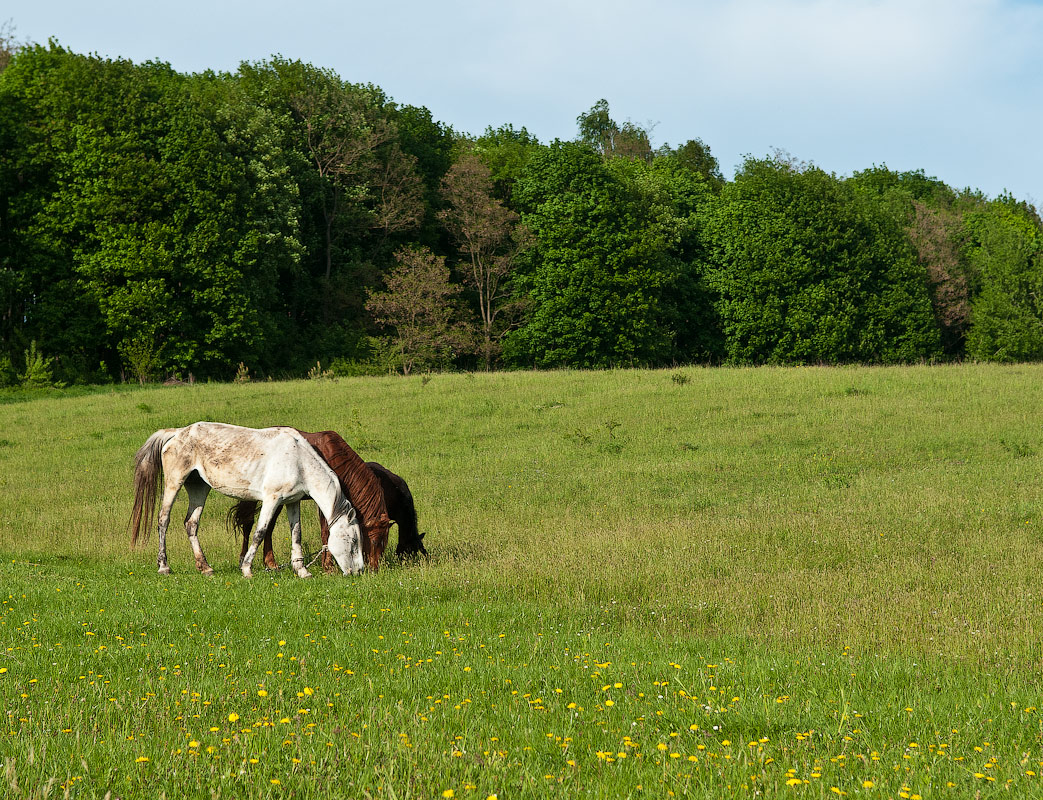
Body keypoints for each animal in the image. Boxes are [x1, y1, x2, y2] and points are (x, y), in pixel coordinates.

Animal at [130, 421, 367, 579]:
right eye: (354, 541)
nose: (359, 570)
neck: (298, 460)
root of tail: (177, 433)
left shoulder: (293, 502)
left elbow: (296, 535)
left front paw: (301, 571)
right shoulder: (271, 499)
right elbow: (260, 532)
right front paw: (246, 569)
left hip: (199, 488)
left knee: (191, 524)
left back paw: (205, 567)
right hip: (174, 482)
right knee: (163, 520)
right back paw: (164, 566)